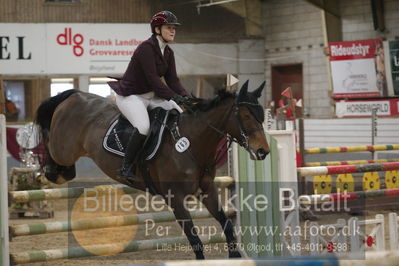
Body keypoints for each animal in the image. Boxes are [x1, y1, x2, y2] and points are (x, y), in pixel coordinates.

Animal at [36, 80, 270, 258]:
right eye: (246, 116)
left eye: (262, 115)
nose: (263, 152)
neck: (192, 143)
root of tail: (75, 95)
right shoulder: (175, 198)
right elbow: (195, 239)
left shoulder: (207, 190)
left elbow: (228, 227)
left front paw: (236, 256)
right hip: (63, 148)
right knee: (50, 146)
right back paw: (48, 172)